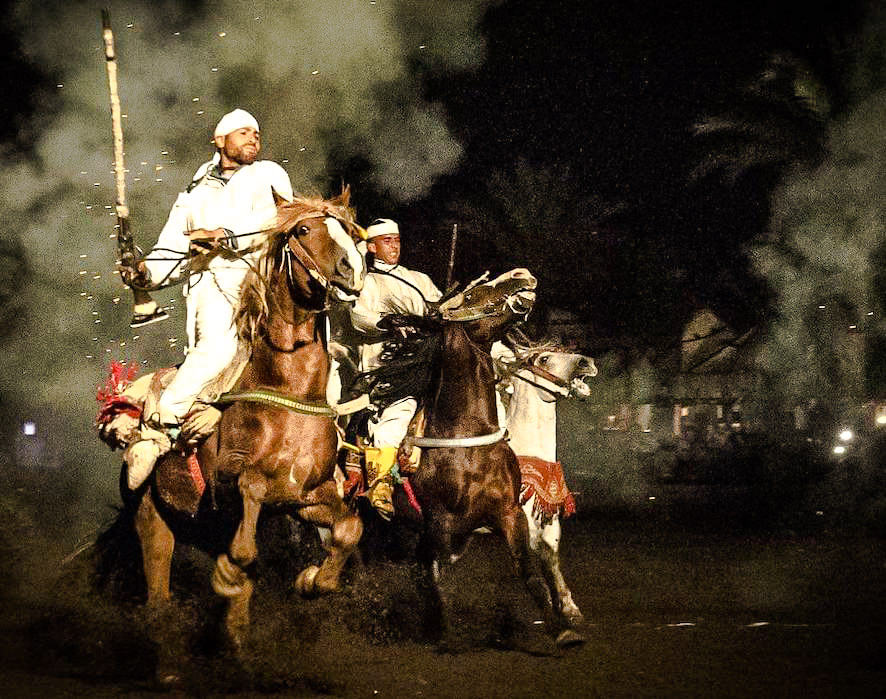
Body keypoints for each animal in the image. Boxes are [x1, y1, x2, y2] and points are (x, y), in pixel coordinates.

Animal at [125, 194, 368, 660]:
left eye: (349, 230)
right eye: (304, 230)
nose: (353, 269)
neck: (287, 389)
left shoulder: (307, 496)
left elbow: (350, 528)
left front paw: (312, 580)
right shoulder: (232, 481)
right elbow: (246, 527)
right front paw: (231, 589)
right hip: (152, 519)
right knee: (158, 596)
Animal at [496, 344, 600, 628]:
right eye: (543, 358)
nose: (586, 362)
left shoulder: (549, 521)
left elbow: (551, 561)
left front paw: (569, 609)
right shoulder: (522, 526)